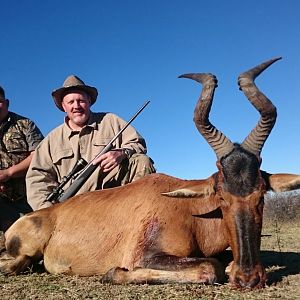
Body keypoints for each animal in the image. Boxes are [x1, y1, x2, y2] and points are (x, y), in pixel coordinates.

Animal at [0, 56, 300, 288]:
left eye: (261, 195)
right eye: (221, 196)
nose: (248, 278)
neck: (190, 210)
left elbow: (219, 265)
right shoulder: (147, 254)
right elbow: (209, 268)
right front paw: (113, 272)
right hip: (23, 252)